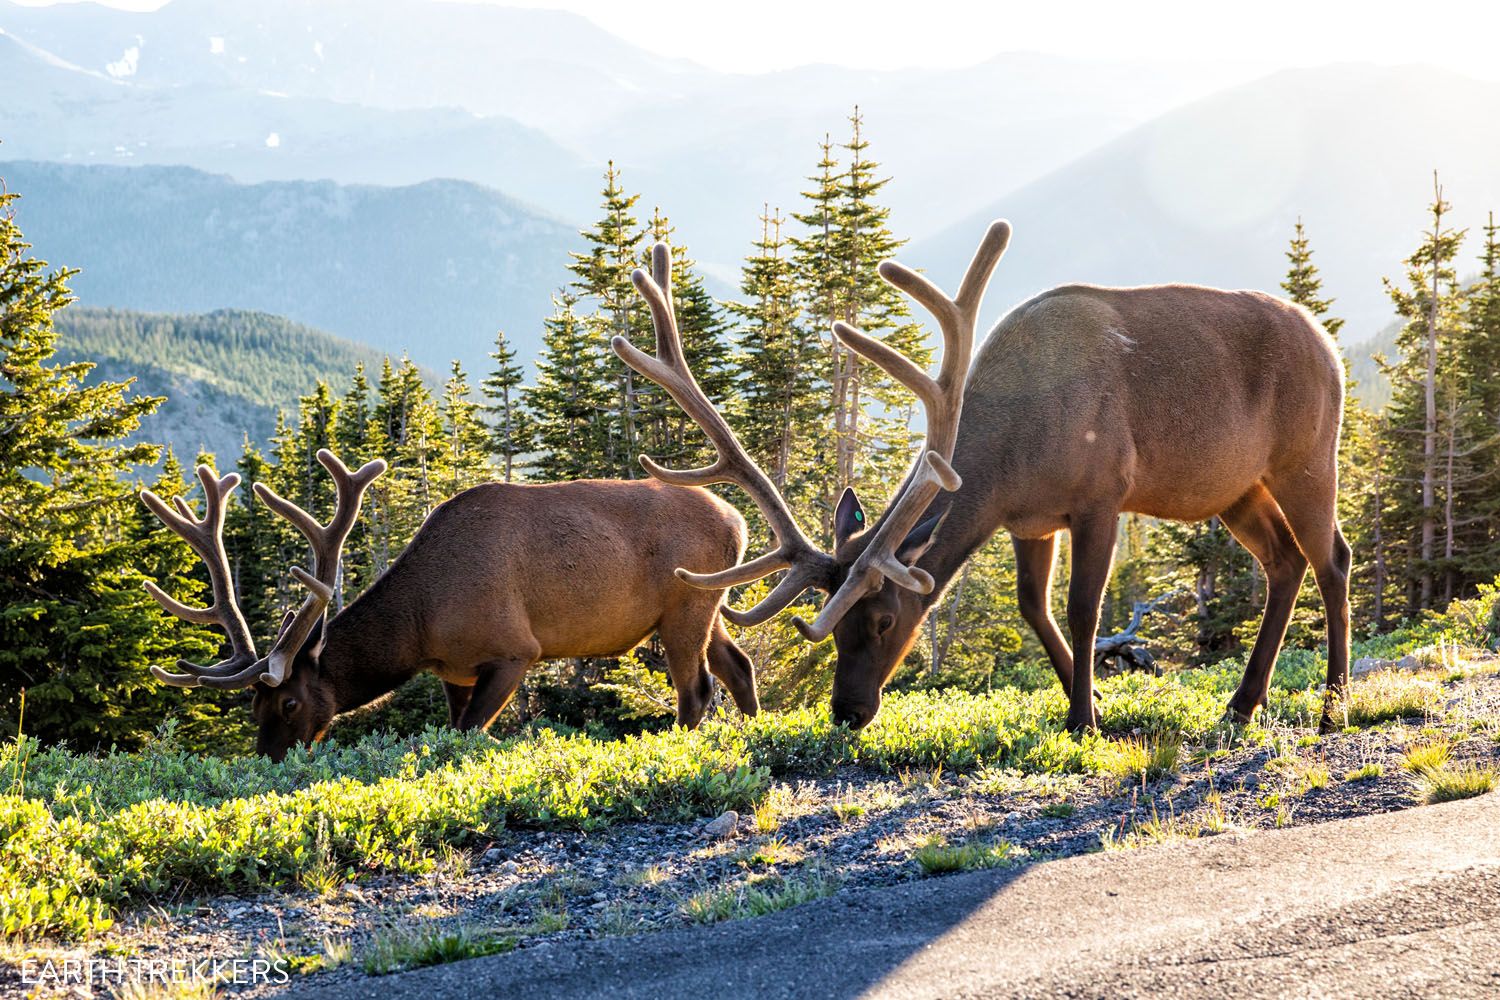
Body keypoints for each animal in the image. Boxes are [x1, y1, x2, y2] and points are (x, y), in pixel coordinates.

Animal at [138, 452, 762, 758]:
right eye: (253, 709)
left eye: (289, 703)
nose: (266, 760)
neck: (422, 627)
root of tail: (740, 521)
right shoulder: (454, 671)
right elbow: (456, 725)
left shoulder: (514, 650)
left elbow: (468, 734)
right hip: (709, 602)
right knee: (738, 665)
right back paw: (758, 731)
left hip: (686, 603)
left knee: (697, 687)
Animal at [615, 226, 1356, 740]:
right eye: (838, 624)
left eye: (884, 619)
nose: (846, 711)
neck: (1010, 456)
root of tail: (1329, 343)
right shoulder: (1029, 518)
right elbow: (1034, 609)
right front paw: (1088, 700)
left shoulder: (1101, 495)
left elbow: (1084, 611)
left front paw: (1083, 721)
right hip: (1236, 488)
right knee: (1284, 562)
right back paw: (1242, 704)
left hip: (1308, 455)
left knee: (1332, 558)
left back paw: (1333, 706)